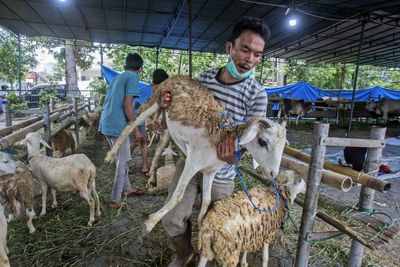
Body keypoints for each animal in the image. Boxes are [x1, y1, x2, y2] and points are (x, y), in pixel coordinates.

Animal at [105, 76, 288, 233]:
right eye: (263, 142)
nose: (273, 173)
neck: (223, 137)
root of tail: (179, 76)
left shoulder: (210, 171)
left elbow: (206, 200)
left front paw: (201, 225)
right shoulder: (192, 163)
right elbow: (178, 196)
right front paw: (150, 222)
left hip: (168, 123)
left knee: (158, 143)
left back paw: (150, 176)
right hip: (157, 99)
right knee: (131, 124)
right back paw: (110, 156)